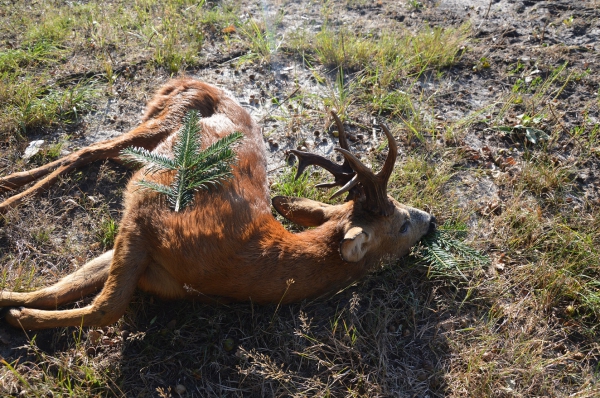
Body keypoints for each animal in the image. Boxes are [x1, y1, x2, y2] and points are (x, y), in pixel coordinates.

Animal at [0, 77, 434, 330]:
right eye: (401, 224)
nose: (430, 219)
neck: (253, 260)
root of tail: (189, 79)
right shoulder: (145, 215)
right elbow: (106, 308)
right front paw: (21, 318)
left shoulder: (143, 252)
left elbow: (66, 287)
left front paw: (10, 303)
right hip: (160, 122)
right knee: (88, 150)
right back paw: (10, 193)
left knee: (90, 154)